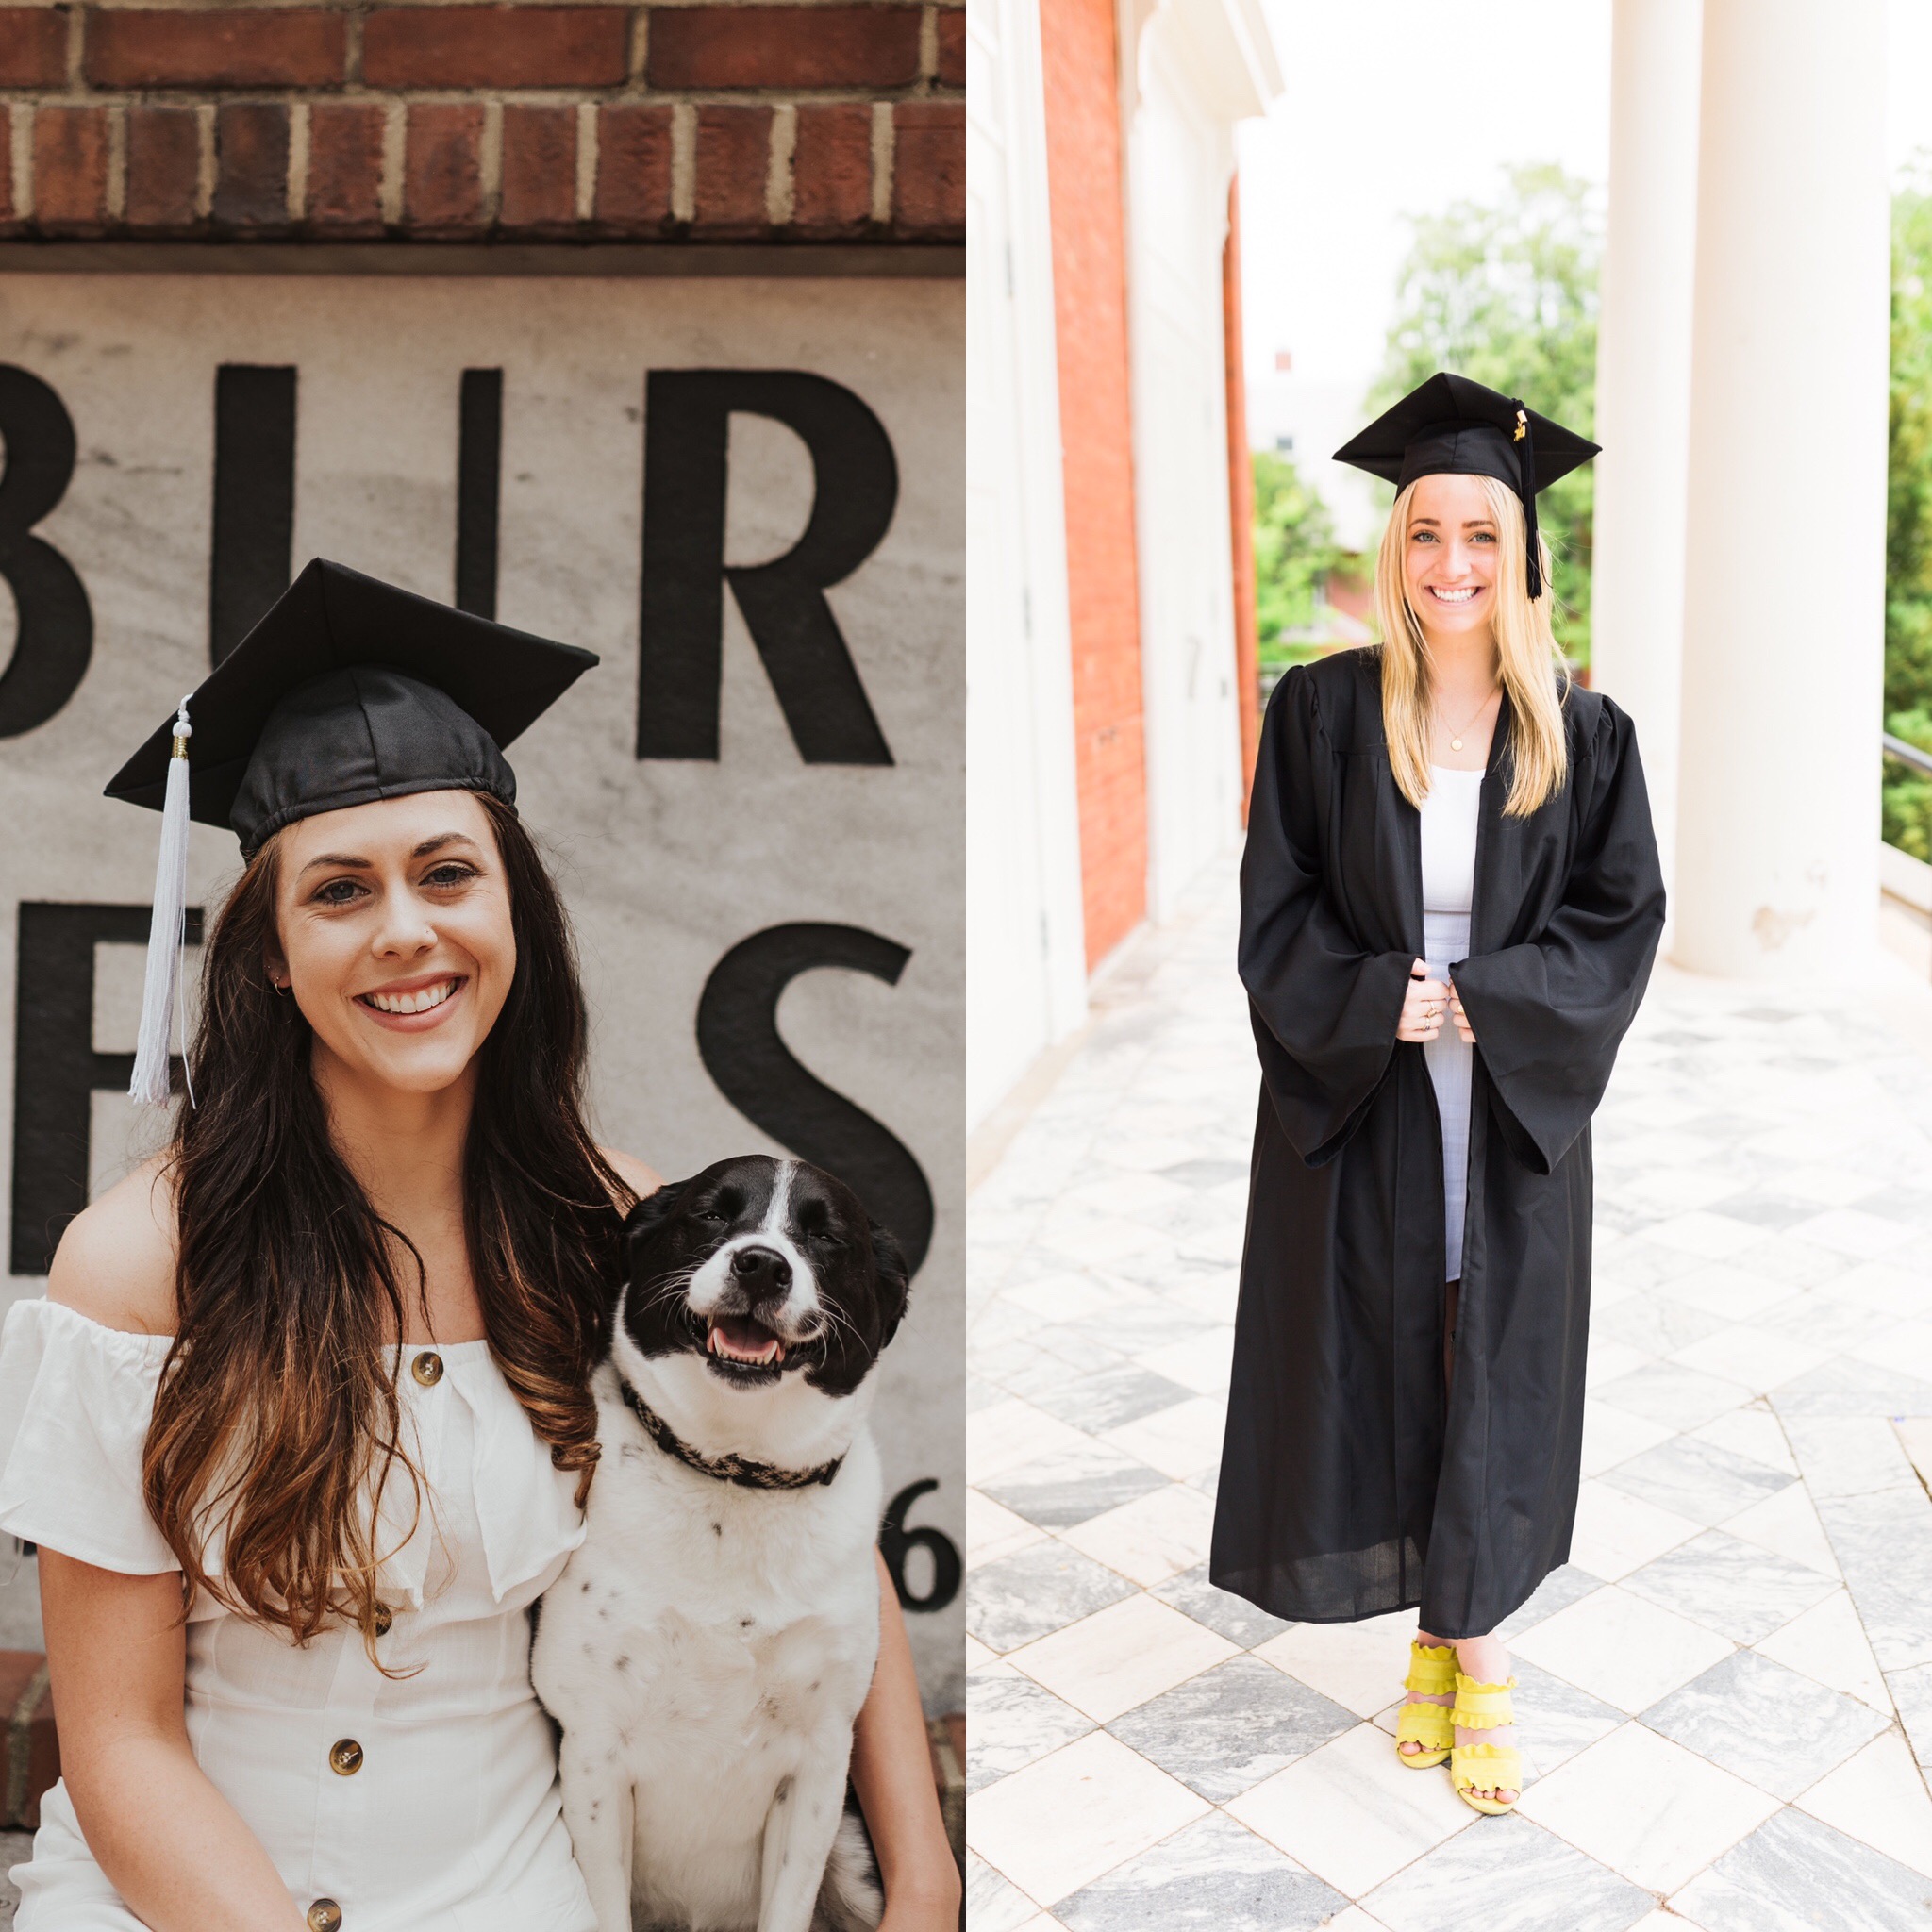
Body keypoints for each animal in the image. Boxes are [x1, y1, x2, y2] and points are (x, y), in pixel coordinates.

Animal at [533, 1151, 915, 1924]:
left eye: (826, 1237)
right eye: (712, 1214)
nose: (762, 1265)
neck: (735, 1476)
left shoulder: (820, 1765)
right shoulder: (593, 1755)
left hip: (854, 1860)